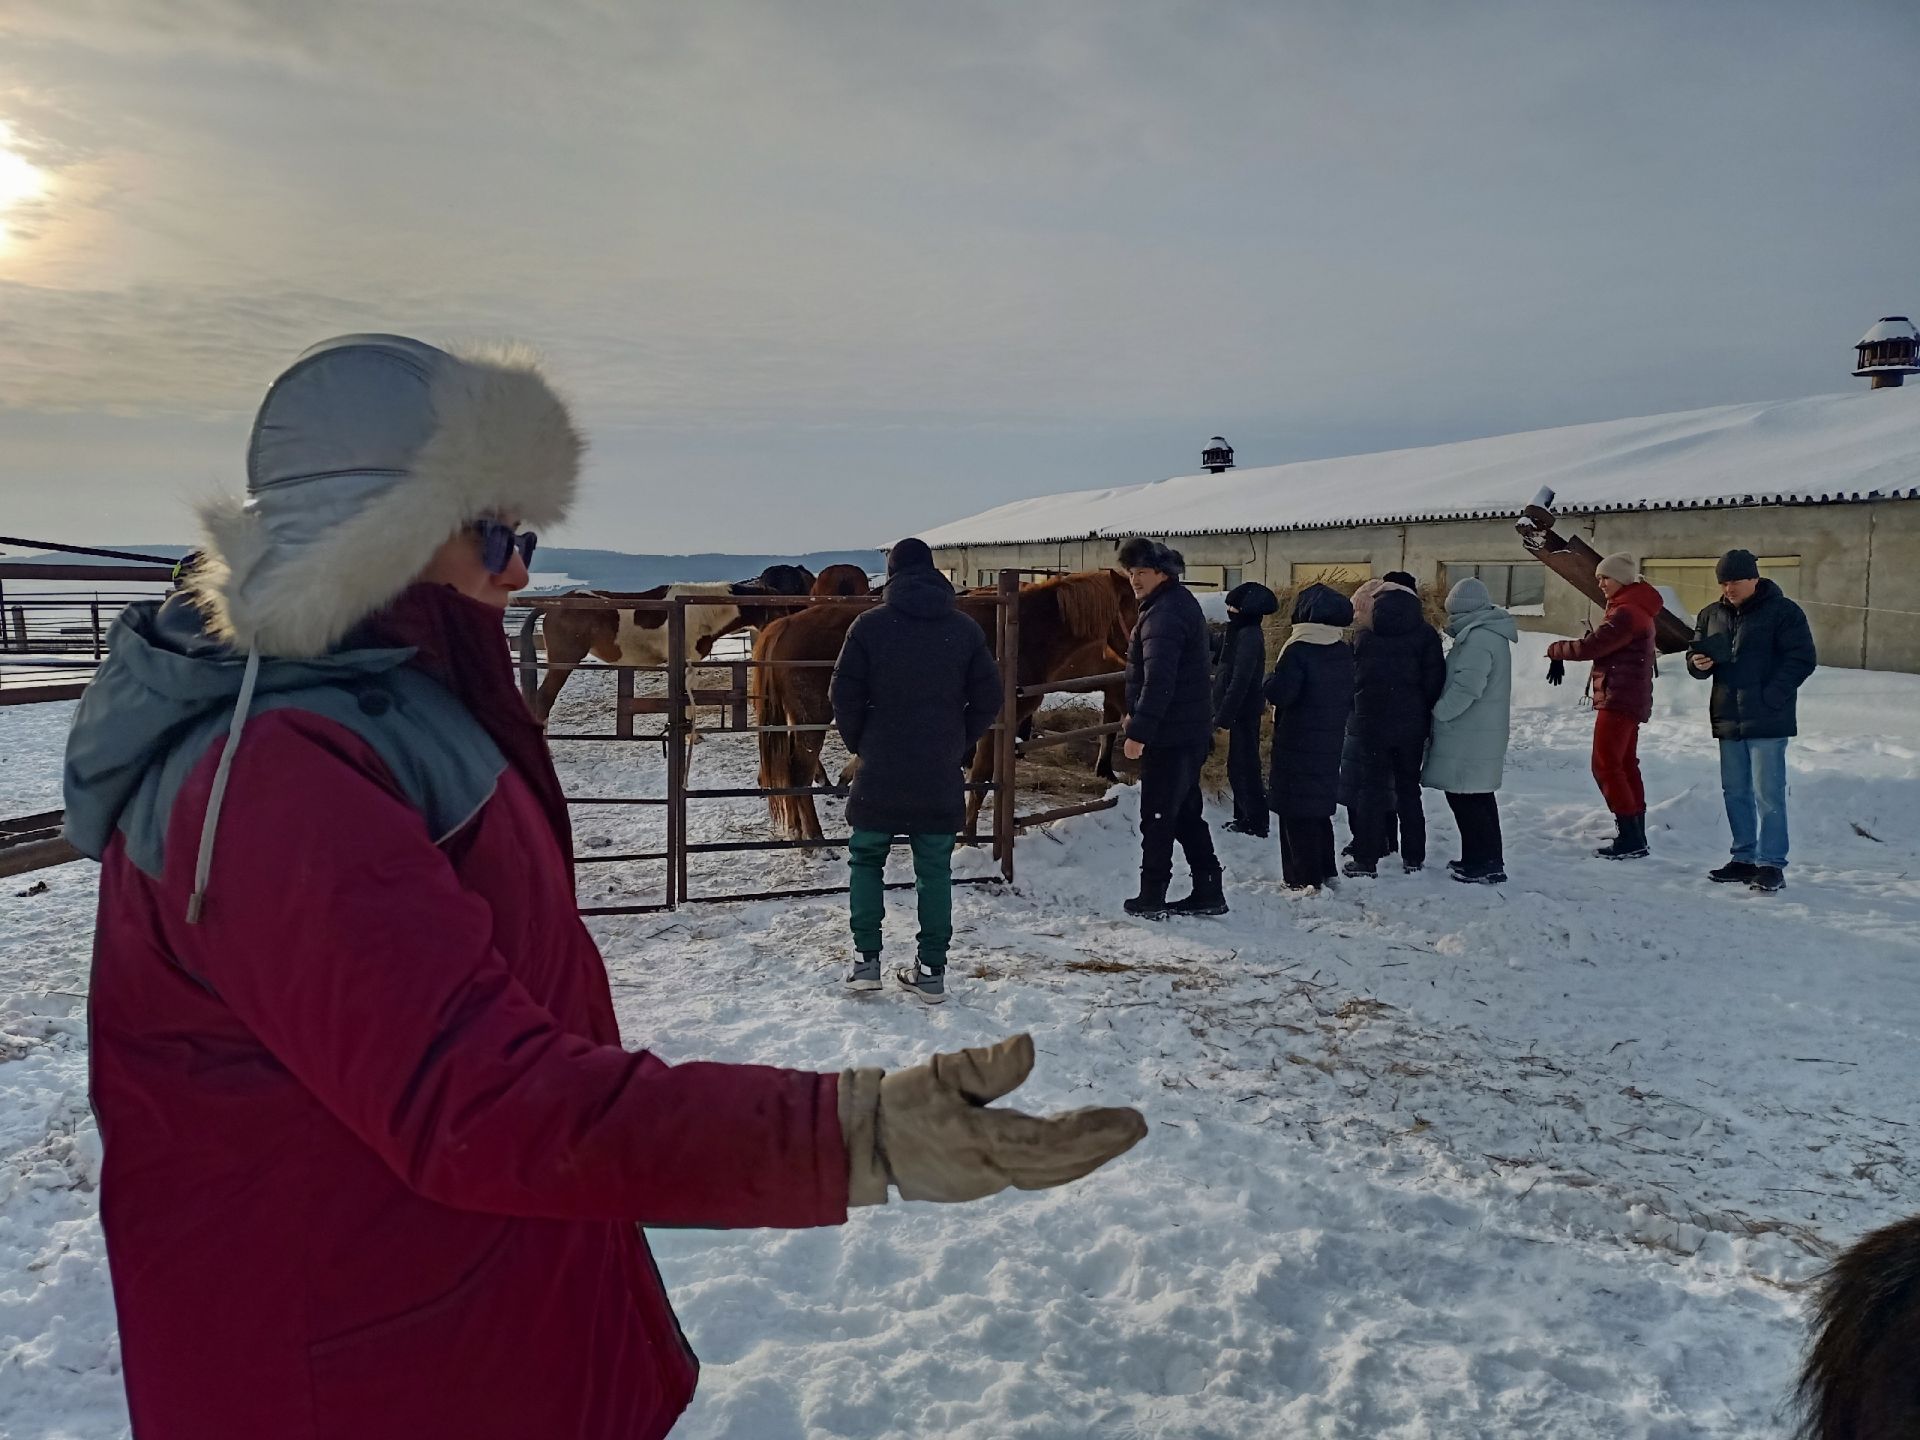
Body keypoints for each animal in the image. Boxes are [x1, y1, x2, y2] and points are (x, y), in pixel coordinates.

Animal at [752, 568, 1136, 844]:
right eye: (1130, 605)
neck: (1021, 631)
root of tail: (781, 626)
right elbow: (980, 780)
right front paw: (969, 838)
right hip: (813, 719)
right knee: (798, 774)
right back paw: (816, 841)